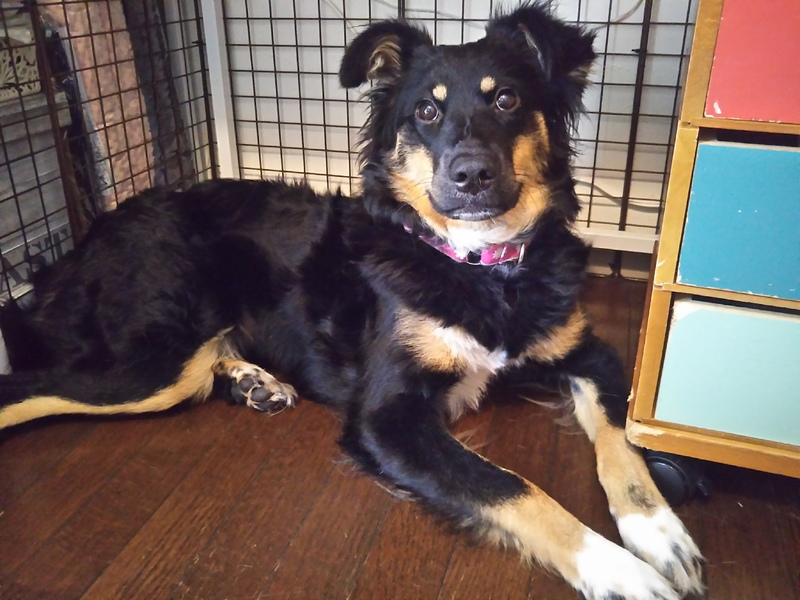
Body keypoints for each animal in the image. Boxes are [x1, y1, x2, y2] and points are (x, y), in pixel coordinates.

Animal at [0, 4, 703, 598]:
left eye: (507, 99)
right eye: (426, 113)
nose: (471, 174)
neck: (482, 267)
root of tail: (85, 242)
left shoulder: (590, 353)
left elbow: (623, 442)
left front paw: (661, 535)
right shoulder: (388, 416)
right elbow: (513, 487)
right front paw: (619, 569)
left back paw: (253, 381)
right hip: (157, 360)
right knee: (33, 384)